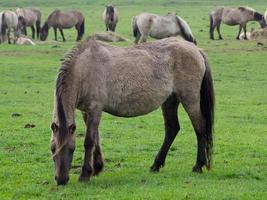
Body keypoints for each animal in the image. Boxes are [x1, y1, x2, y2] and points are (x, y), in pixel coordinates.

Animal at [50, 36, 216, 185]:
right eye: (52, 149)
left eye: (72, 149)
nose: (61, 180)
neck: (84, 68)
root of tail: (196, 49)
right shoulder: (87, 112)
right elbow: (96, 139)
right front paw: (97, 168)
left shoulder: (95, 110)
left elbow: (89, 141)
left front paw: (85, 175)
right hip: (170, 100)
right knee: (172, 129)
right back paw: (156, 165)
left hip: (189, 99)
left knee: (200, 128)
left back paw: (198, 166)